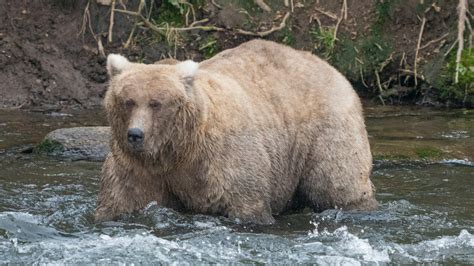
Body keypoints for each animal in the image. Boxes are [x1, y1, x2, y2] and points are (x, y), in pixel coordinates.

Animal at [95, 39, 378, 224]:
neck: (178, 150)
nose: (135, 134)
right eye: (128, 101)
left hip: (326, 130)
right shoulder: (138, 167)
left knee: (337, 183)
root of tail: (331, 68)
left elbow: (246, 201)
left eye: (156, 103)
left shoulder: (222, 158)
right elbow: (122, 200)